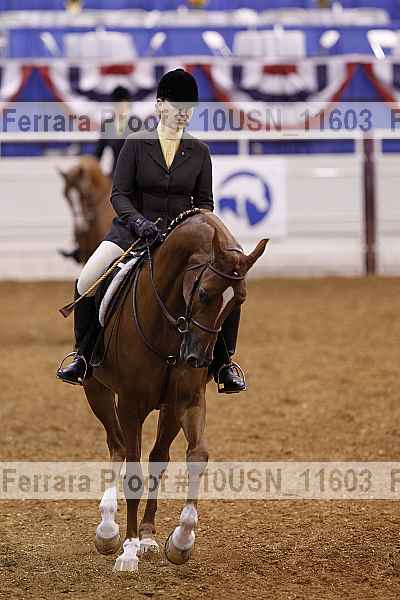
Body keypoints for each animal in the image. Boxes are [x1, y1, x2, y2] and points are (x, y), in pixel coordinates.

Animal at [77, 208, 268, 573]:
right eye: (204, 293)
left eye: (237, 303)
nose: (198, 358)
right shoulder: (130, 404)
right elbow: (133, 474)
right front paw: (127, 551)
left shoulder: (188, 401)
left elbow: (197, 457)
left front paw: (180, 541)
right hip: (98, 392)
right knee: (117, 446)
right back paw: (108, 529)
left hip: (166, 410)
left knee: (158, 458)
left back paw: (148, 536)